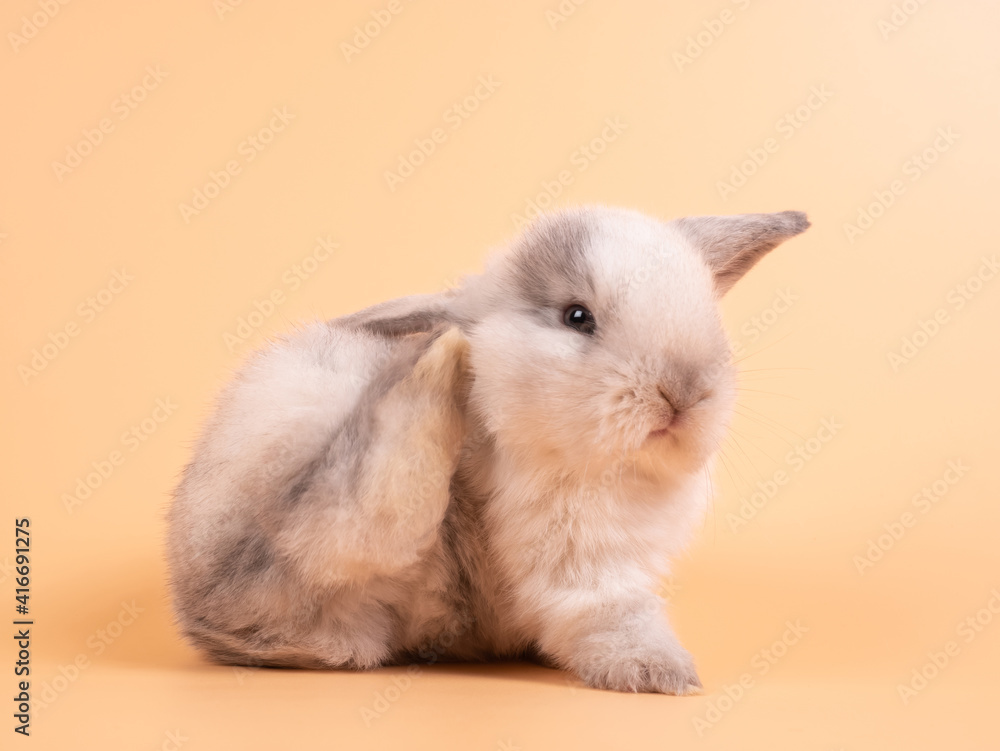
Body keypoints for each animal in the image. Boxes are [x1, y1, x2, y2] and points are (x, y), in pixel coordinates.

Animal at [166, 205, 809, 693]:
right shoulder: (582, 562)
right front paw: (661, 674)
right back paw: (437, 355)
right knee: (330, 531)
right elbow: (612, 613)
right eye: (578, 316)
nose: (683, 394)